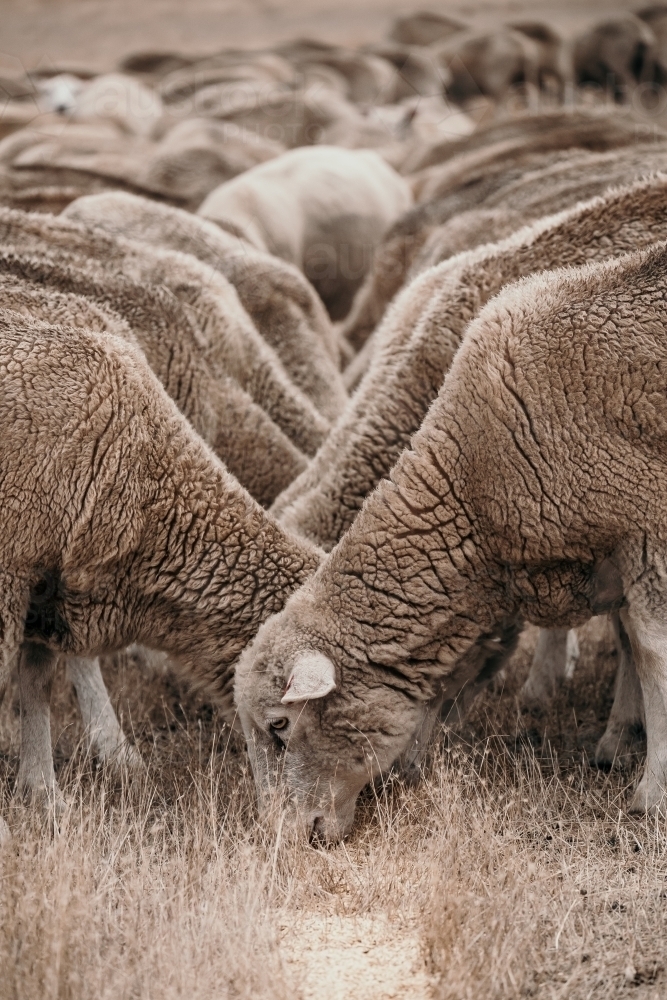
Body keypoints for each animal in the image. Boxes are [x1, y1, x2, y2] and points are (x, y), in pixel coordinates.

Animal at [239, 238, 667, 840]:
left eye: (279, 725)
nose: (284, 837)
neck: (474, 481)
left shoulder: (645, 527)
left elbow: (652, 653)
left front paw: (651, 793)